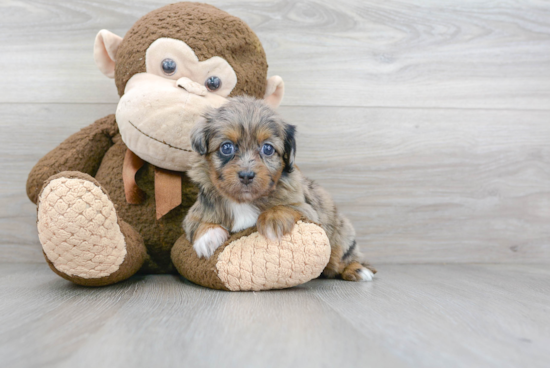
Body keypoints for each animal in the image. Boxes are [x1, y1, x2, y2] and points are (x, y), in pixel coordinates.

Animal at [183, 96, 378, 280]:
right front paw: (208, 237)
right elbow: (197, 223)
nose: (246, 175)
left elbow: (284, 207)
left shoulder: (307, 210)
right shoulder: (195, 213)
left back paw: (358, 270)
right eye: (226, 147)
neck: (243, 201)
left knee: (343, 258)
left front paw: (272, 220)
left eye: (268, 149)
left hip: (341, 237)